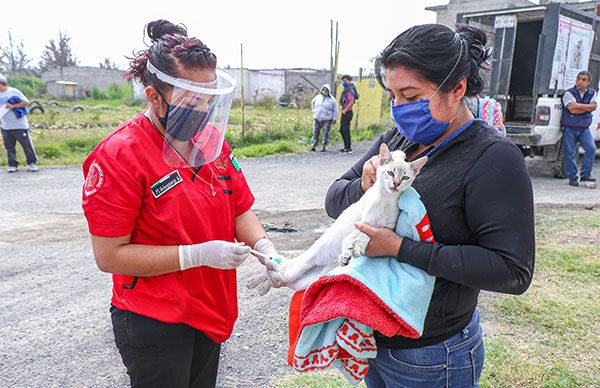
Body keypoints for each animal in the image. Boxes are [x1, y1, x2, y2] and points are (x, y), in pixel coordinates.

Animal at [248, 145, 426, 294]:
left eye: (405, 178)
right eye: (390, 173)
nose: (396, 184)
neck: (388, 201)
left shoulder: (385, 229)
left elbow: (365, 236)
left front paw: (355, 250)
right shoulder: (362, 223)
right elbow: (354, 236)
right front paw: (349, 251)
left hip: (304, 281)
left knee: (277, 277)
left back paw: (259, 285)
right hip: (294, 270)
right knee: (278, 270)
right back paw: (256, 281)